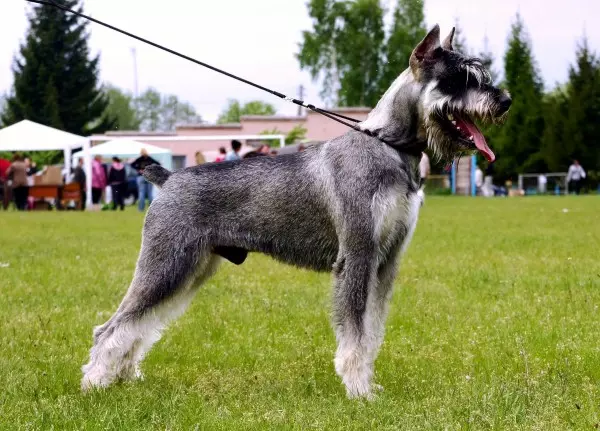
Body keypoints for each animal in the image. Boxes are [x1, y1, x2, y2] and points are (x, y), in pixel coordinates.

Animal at [79, 25, 510, 400]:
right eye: (461, 77)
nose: (504, 101)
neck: (389, 147)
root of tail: (168, 179)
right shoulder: (358, 256)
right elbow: (356, 331)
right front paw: (360, 391)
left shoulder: (386, 263)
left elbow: (372, 331)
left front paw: (370, 384)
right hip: (165, 265)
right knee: (113, 327)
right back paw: (95, 384)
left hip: (190, 270)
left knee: (141, 324)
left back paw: (123, 376)